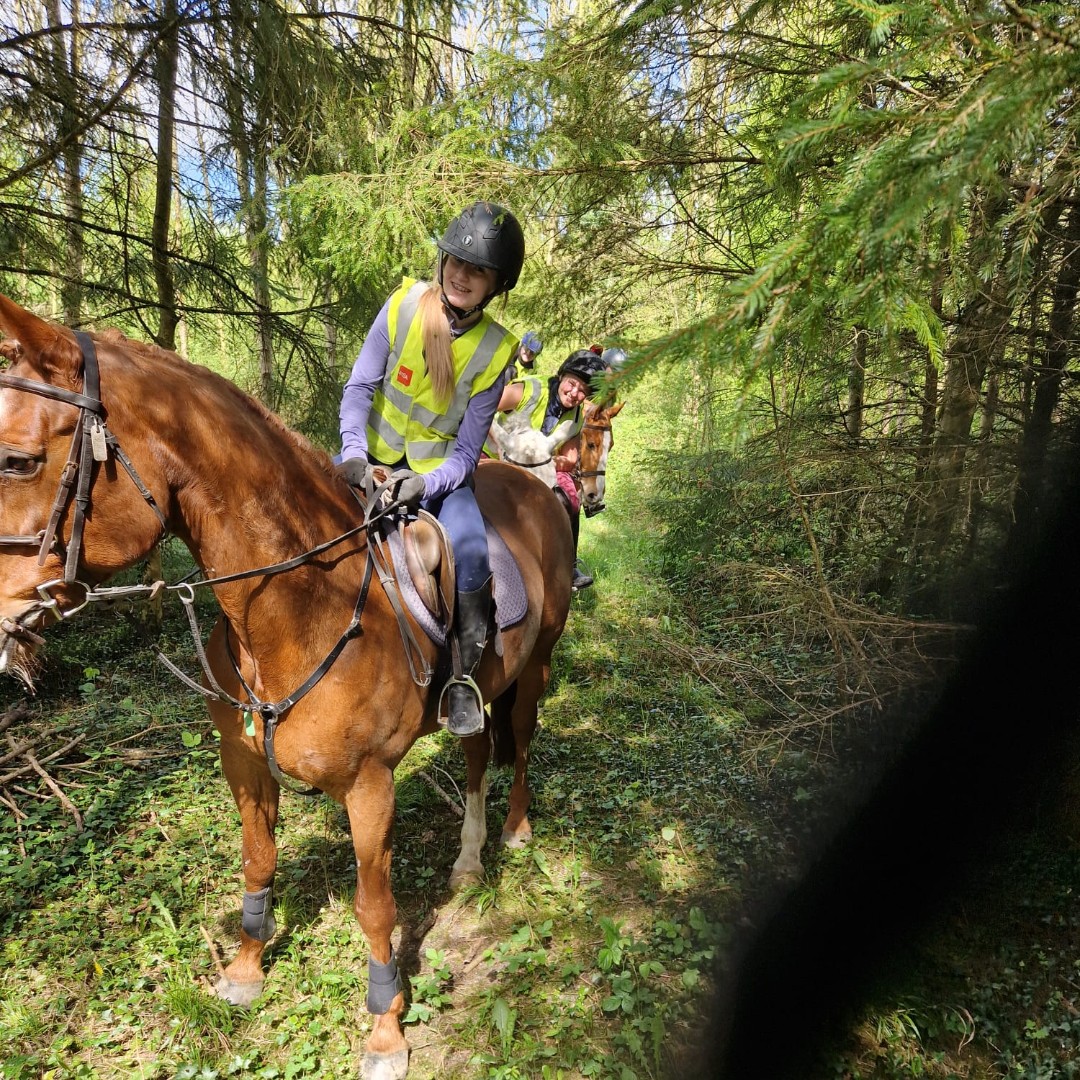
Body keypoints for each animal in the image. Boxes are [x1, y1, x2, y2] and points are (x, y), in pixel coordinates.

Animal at [0, 295, 574, 1080]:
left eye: (18, 461)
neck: (296, 605)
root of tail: (533, 484)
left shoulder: (369, 786)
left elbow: (375, 907)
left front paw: (385, 1030)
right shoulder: (242, 762)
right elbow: (257, 861)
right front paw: (245, 970)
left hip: (536, 663)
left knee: (518, 740)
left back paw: (513, 831)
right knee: (477, 753)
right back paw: (467, 859)